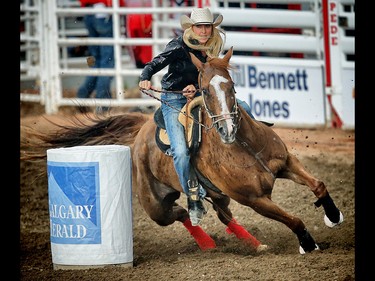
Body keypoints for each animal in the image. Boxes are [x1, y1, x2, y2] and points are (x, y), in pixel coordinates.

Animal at [20, 46, 344, 254]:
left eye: (231, 85)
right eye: (205, 89)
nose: (227, 129)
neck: (245, 146)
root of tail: (141, 130)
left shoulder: (287, 161)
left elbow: (318, 184)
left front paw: (333, 215)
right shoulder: (254, 200)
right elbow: (294, 218)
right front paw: (308, 243)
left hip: (217, 194)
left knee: (224, 216)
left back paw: (251, 243)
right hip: (155, 204)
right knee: (181, 214)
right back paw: (207, 243)